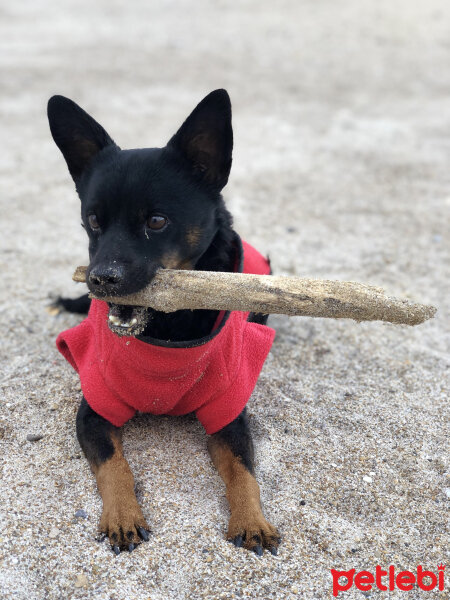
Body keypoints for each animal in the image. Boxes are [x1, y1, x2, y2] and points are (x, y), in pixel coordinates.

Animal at [49, 90, 282, 556]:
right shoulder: (93, 410)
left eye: (156, 221)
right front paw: (123, 515)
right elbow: (114, 466)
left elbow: (245, 471)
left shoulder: (230, 415)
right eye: (93, 220)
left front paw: (252, 519)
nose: (101, 279)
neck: (167, 332)